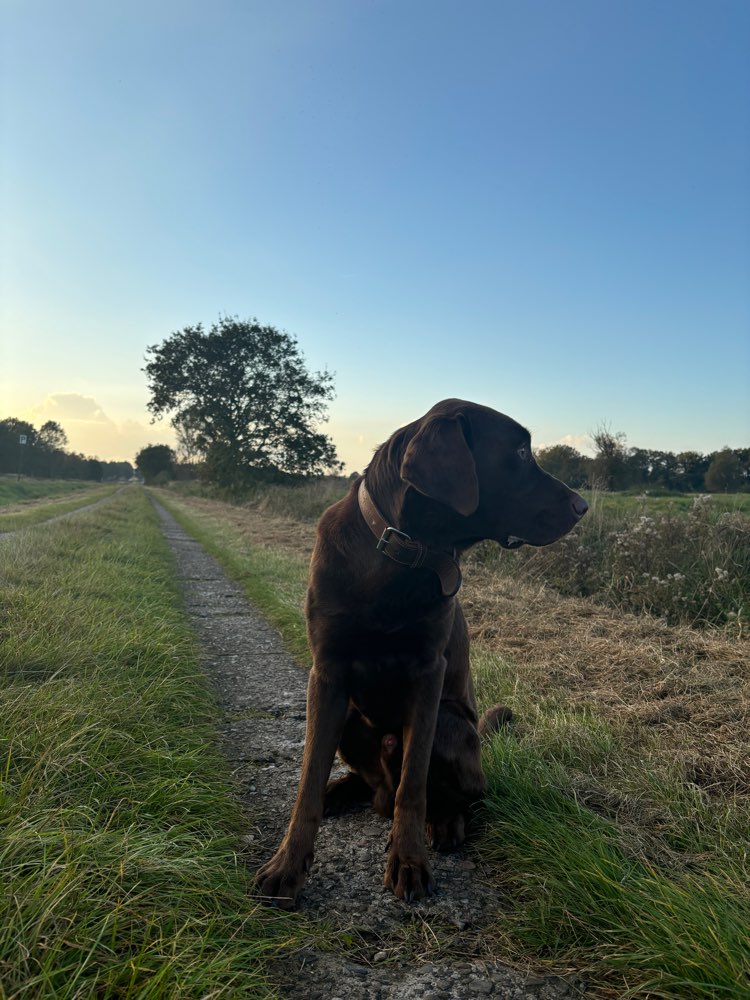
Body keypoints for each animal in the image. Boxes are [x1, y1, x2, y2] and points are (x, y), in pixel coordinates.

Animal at [256, 396, 592, 908]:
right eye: (518, 453)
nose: (583, 505)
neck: (399, 556)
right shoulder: (326, 674)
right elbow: (308, 777)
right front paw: (287, 865)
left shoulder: (427, 675)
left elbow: (413, 784)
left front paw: (409, 862)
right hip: (351, 716)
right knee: (367, 781)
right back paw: (342, 791)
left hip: (452, 727)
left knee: (461, 796)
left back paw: (444, 824)